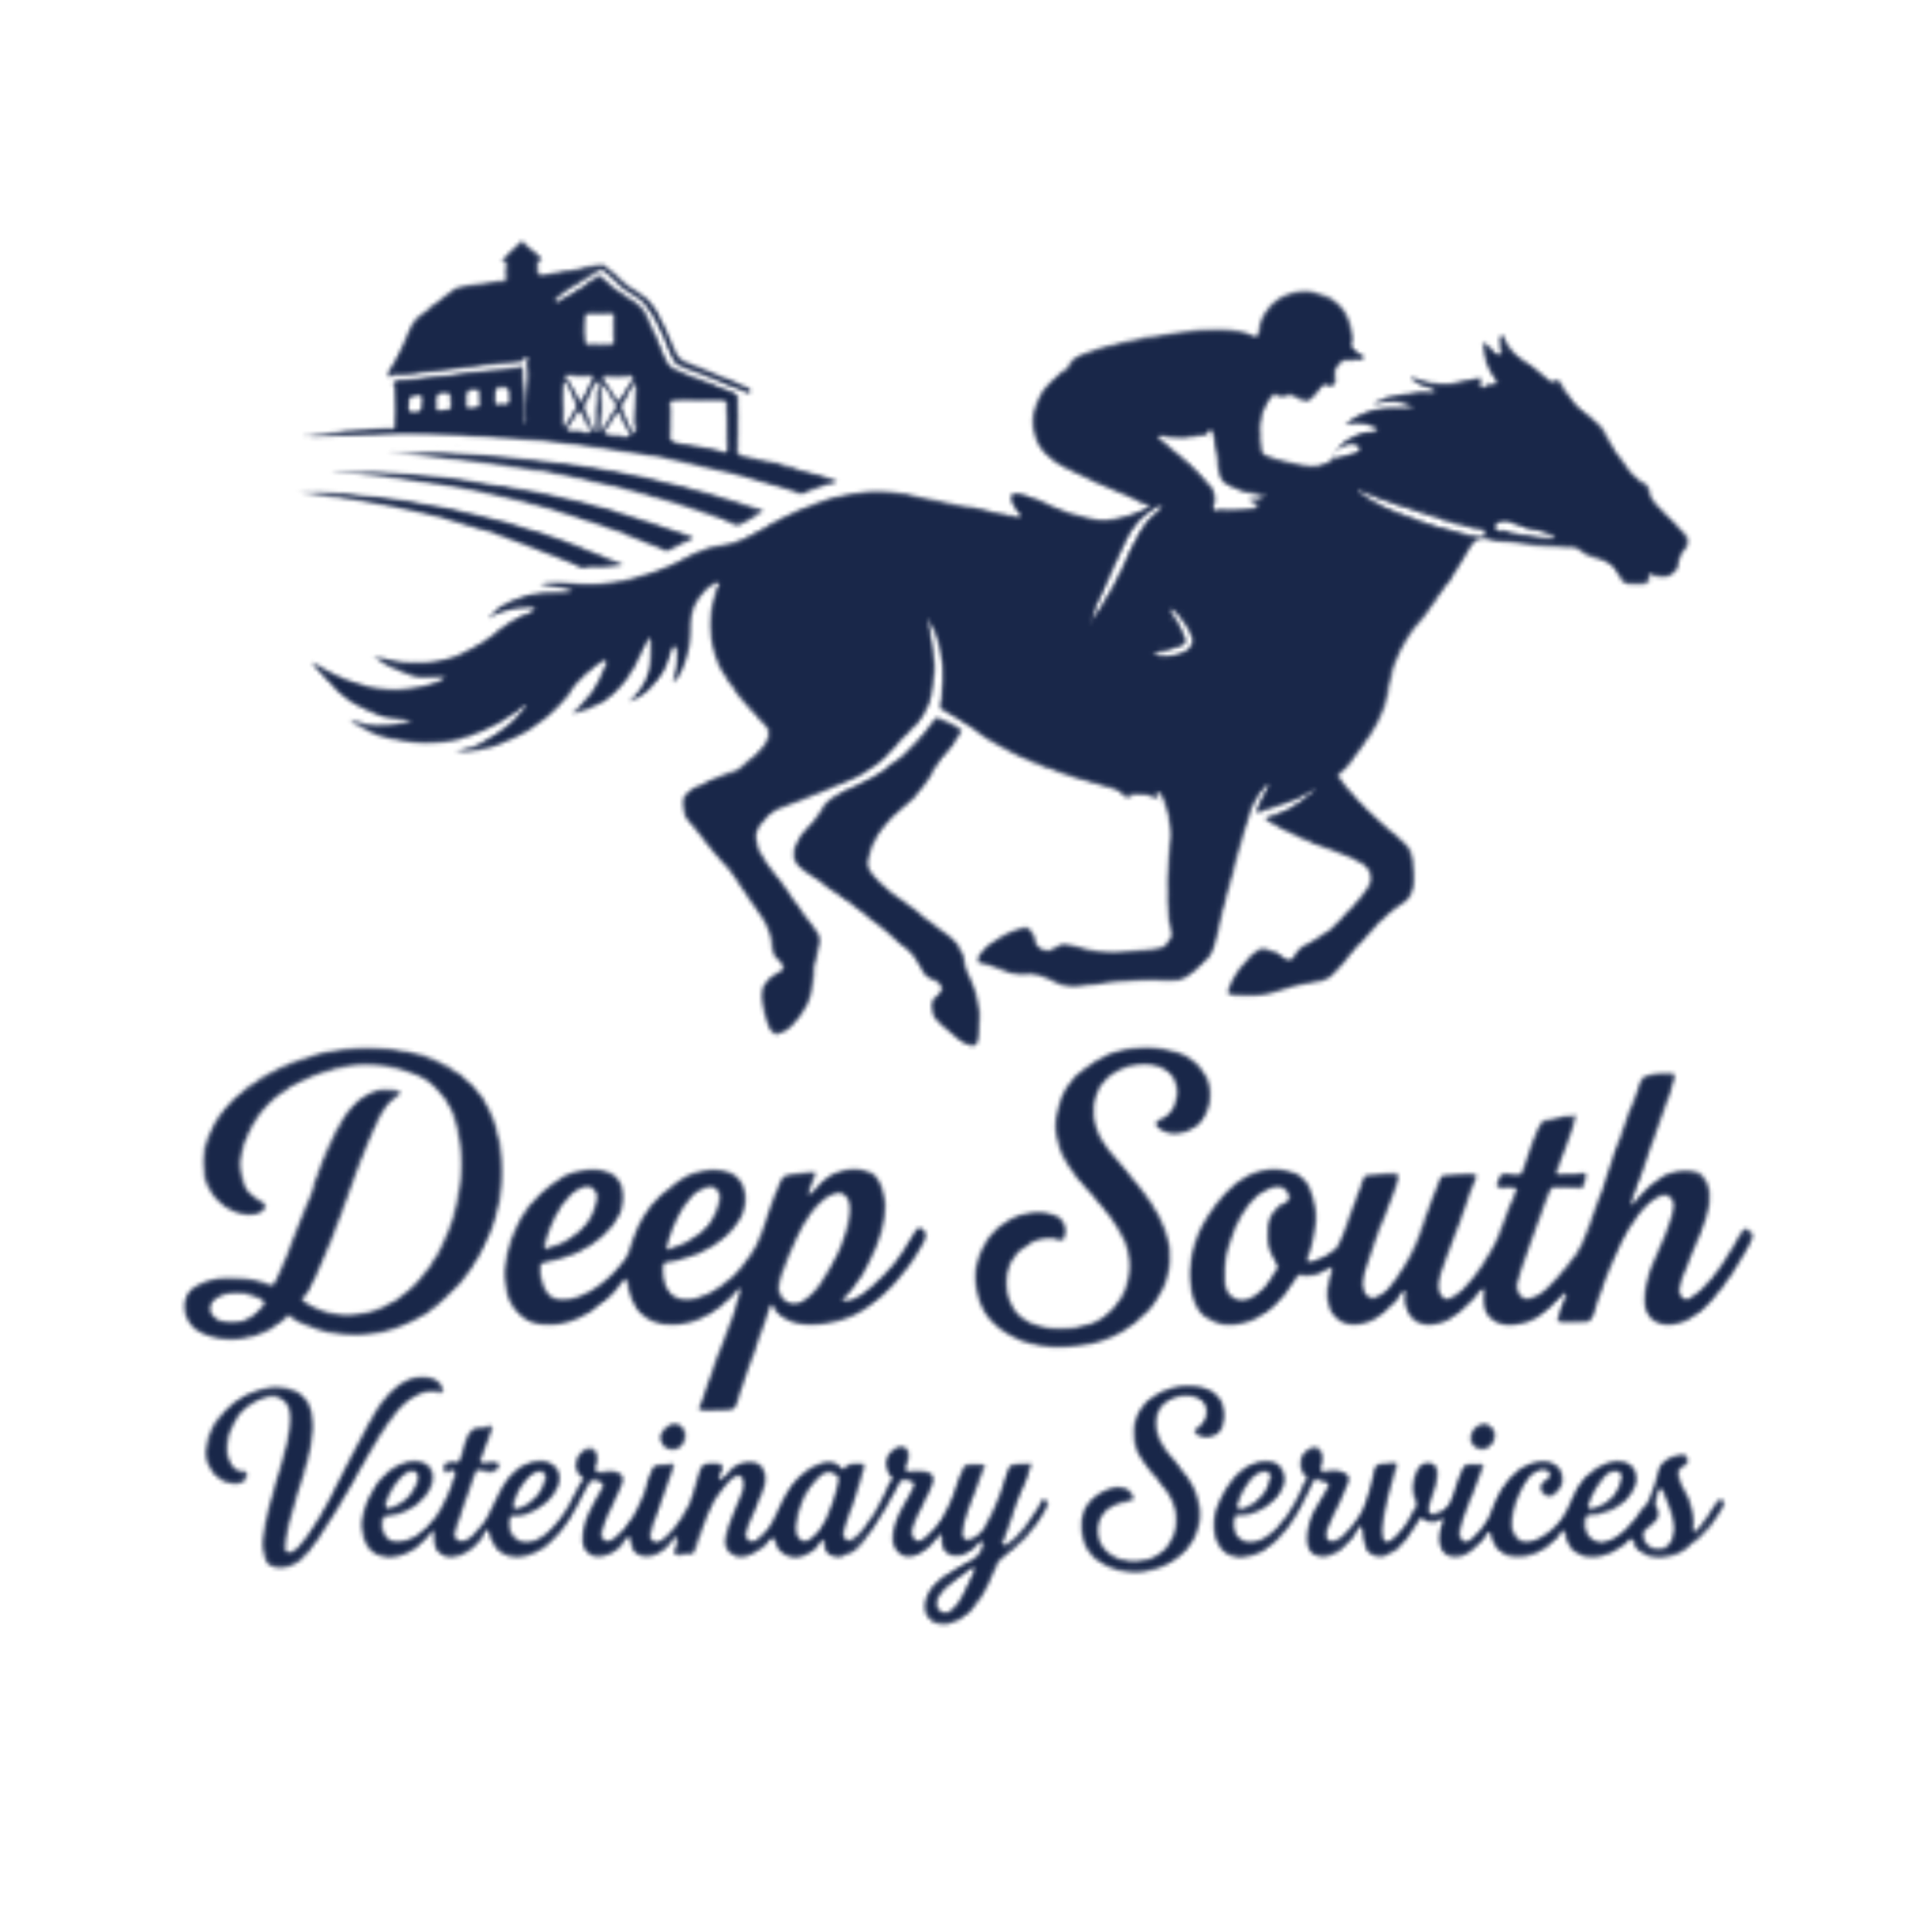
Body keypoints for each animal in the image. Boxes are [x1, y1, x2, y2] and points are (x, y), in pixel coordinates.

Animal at [312, 333, 1691, 1051]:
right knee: (727, 813)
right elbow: (1183, 937)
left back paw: (954, 991)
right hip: (853, 717)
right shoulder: (1210, 792)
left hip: (926, 730)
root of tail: (753, 547)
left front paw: (1276, 974)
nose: (1672, 549)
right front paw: (1055, 952)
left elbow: (1394, 872)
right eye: (1567, 453)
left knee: (830, 842)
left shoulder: (1287, 786)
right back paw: (800, 984)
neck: (1321, 578)